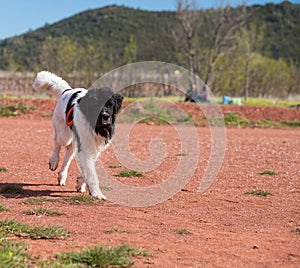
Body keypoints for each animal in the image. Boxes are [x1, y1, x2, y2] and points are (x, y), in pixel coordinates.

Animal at [32, 70, 122, 199]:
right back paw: (54, 161)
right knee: (57, 143)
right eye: (95, 105)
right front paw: (96, 193)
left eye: (109, 105)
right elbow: (91, 172)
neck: (95, 126)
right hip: (64, 135)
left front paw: (81, 184)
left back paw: (62, 176)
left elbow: (88, 169)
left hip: (73, 142)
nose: (106, 116)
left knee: (68, 154)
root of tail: (67, 91)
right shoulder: (86, 148)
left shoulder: (96, 149)